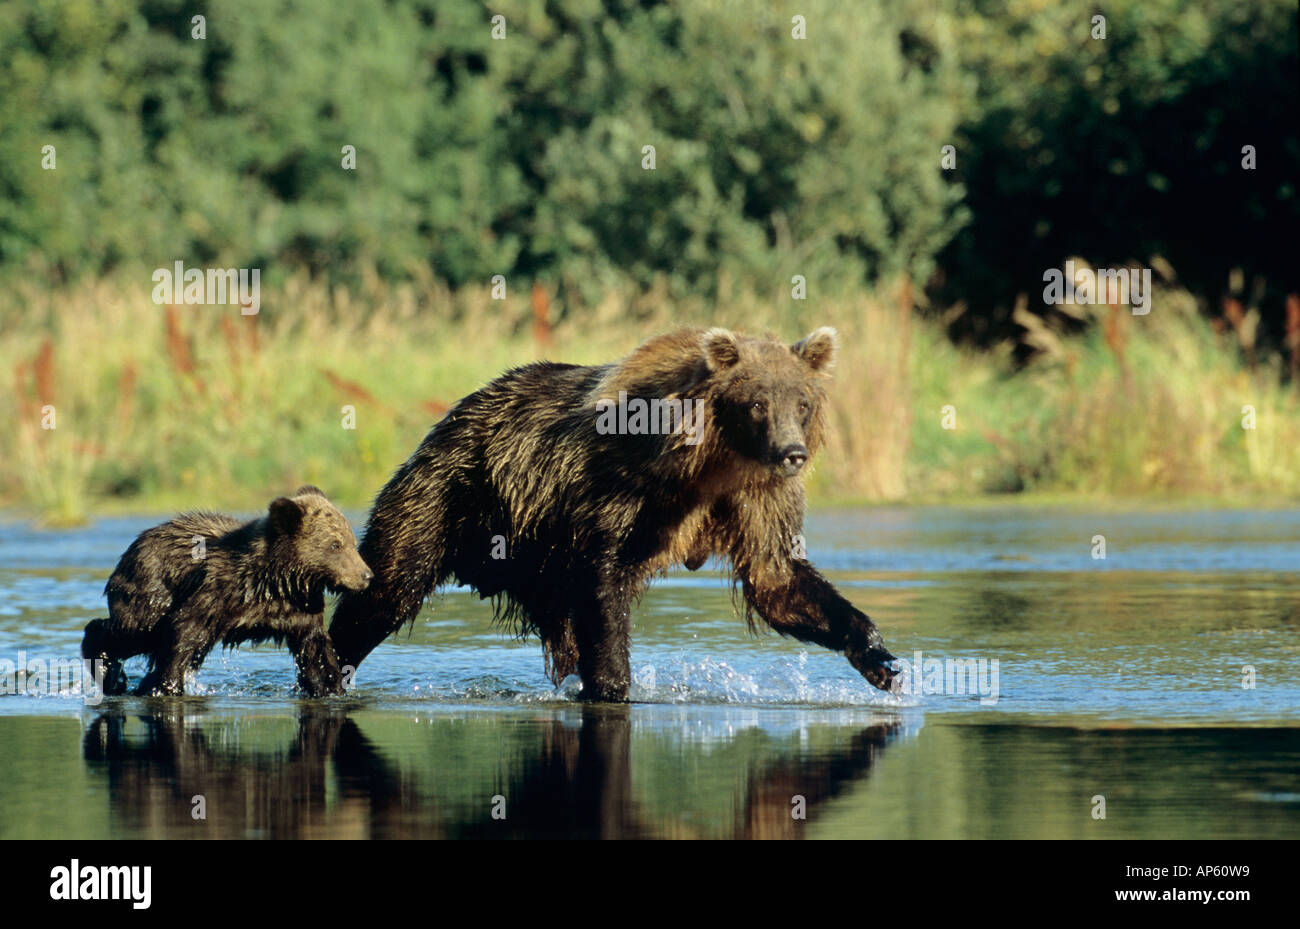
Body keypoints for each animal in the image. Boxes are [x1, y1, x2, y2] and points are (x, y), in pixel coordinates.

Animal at [327, 327, 894, 696]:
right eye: (757, 402)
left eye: (800, 401)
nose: (792, 452)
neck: (710, 461)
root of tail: (455, 412)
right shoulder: (622, 485)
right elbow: (605, 576)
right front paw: (616, 684)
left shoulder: (758, 496)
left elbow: (777, 576)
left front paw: (878, 655)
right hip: (450, 492)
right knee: (389, 585)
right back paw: (330, 666)